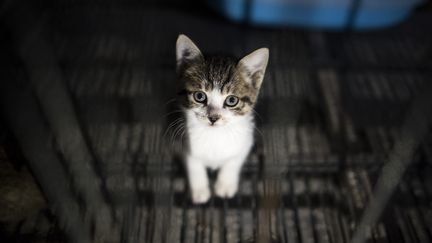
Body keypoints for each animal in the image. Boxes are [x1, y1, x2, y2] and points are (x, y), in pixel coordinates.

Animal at [175, 33, 268, 202]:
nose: (213, 117)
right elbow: (193, 163)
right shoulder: (182, 141)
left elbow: (234, 161)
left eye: (231, 100)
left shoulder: (246, 141)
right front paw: (200, 190)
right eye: (199, 96)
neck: (215, 135)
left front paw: (225, 185)